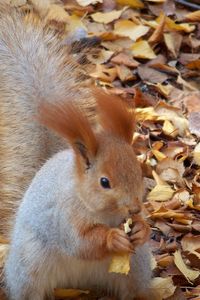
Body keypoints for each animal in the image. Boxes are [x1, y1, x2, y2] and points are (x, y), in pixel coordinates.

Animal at [4, 91, 153, 300]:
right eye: (104, 182)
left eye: (139, 172)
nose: (134, 208)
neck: (105, 212)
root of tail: (77, 282)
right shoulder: (65, 215)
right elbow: (79, 242)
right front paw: (112, 238)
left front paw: (141, 228)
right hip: (28, 266)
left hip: (137, 267)